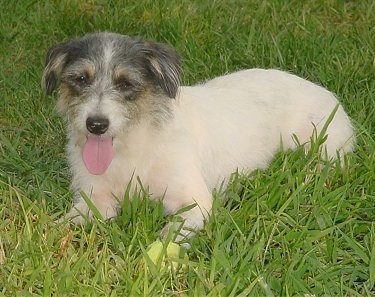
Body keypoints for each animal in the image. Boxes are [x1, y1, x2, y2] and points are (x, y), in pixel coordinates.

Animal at [41, 31, 356, 240]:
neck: (132, 147)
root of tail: (332, 97)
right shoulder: (97, 201)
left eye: (126, 83)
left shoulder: (194, 203)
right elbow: (64, 221)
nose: (96, 124)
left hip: (322, 149)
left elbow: (169, 236)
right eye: (81, 78)